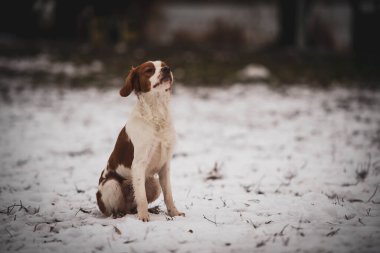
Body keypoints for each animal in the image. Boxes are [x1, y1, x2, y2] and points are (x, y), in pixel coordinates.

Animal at [95, 59, 184, 221]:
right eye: (149, 70)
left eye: (164, 65)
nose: (167, 69)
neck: (157, 114)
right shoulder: (138, 164)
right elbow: (141, 197)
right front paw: (143, 217)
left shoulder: (165, 165)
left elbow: (168, 195)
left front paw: (174, 213)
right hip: (111, 184)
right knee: (115, 209)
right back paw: (120, 215)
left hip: (154, 183)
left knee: (132, 206)